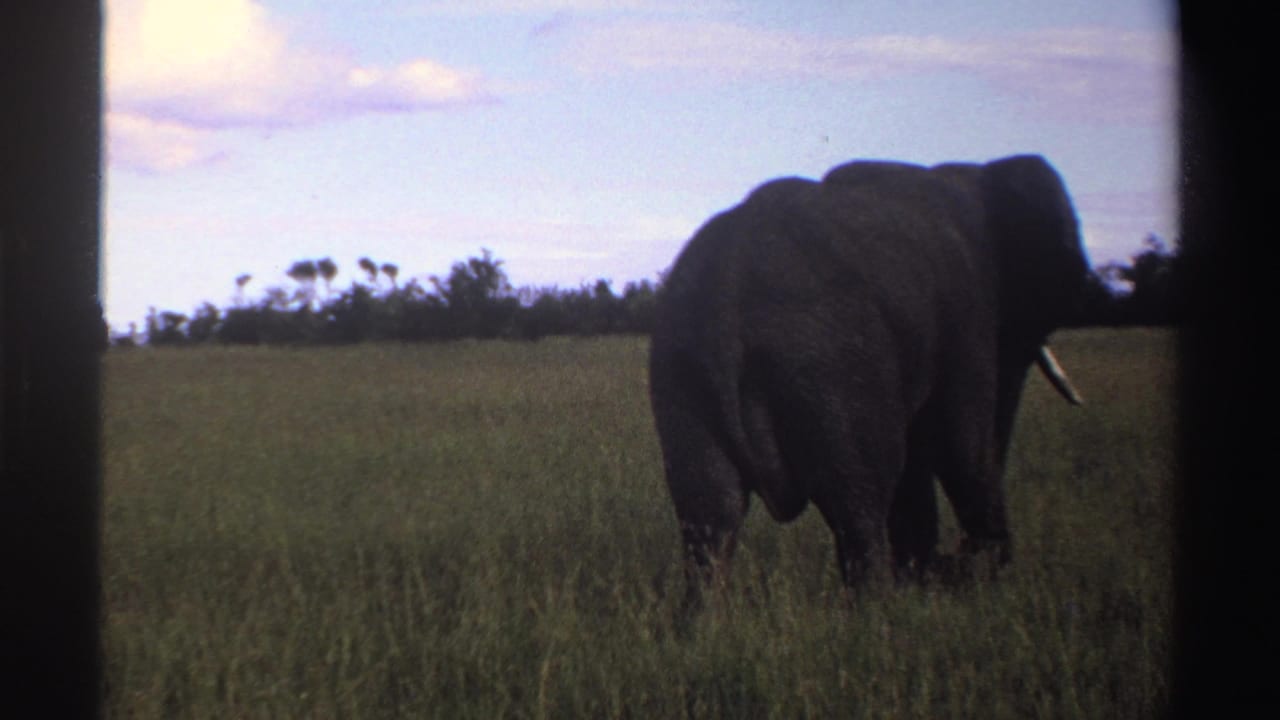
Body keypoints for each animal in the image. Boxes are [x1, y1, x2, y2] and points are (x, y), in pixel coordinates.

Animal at [648, 154, 1089, 596]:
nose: (956, 562)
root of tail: (726, 299)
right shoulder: (967, 314)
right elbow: (960, 444)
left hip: (682, 373)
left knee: (709, 516)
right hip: (831, 370)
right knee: (860, 505)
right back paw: (880, 607)